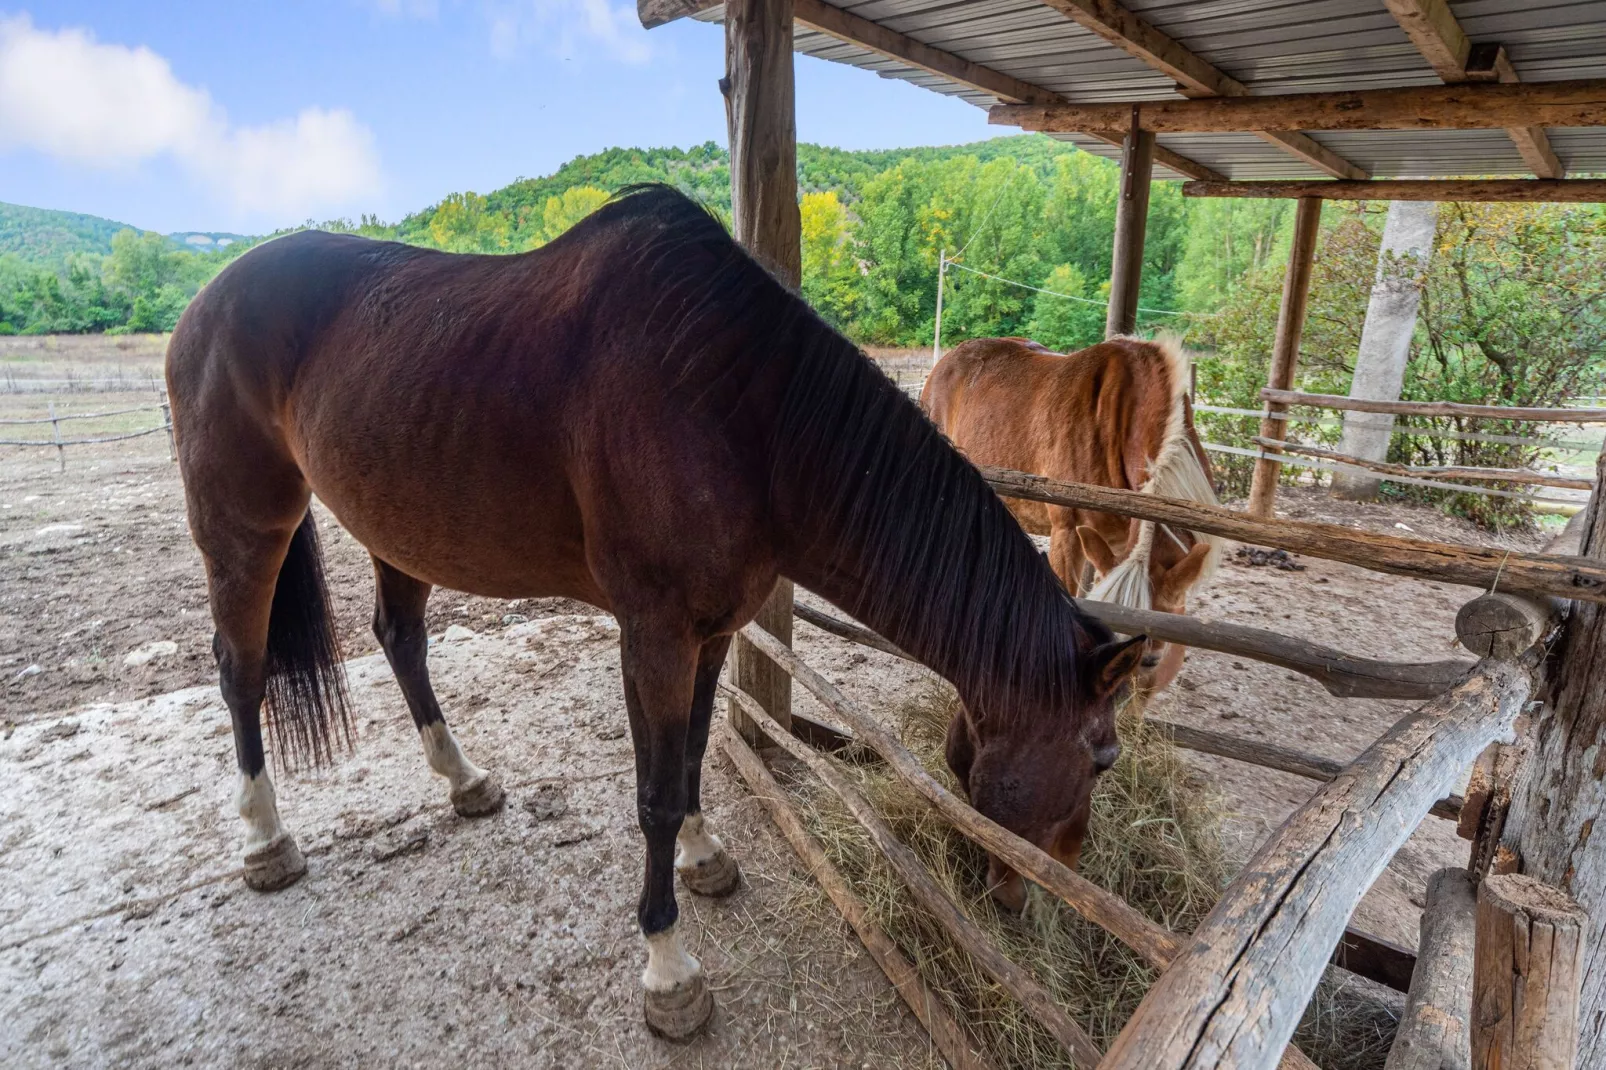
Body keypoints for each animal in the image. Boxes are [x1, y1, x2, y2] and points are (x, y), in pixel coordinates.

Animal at [166, 183, 1143, 1034]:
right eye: (1101, 759)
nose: (1044, 905)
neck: (742, 415)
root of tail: (204, 302)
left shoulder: (709, 635)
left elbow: (695, 759)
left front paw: (705, 861)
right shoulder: (656, 638)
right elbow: (655, 795)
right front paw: (669, 972)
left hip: (399, 528)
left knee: (400, 640)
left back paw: (464, 780)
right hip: (247, 525)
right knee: (240, 666)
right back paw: (265, 840)